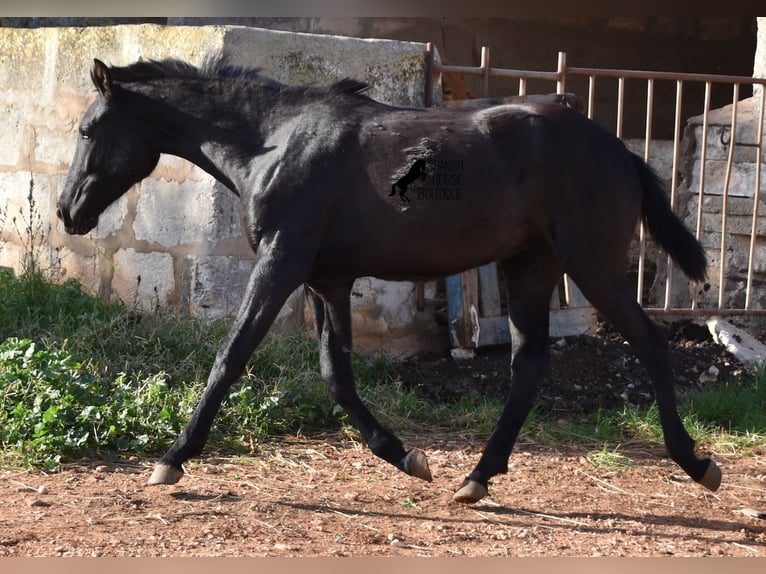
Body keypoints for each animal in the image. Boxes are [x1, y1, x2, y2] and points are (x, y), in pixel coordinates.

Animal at [58, 57, 720, 504]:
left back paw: (696, 464)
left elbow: (231, 356)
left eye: (88, 131)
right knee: (529, 363)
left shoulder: (281, 262)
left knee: (649, 344)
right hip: (528, 267)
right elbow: (337, 375)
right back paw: (475, 478)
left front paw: (172, 459)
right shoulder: (326, 280)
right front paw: (408, 458)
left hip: (591, 265)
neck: (274, 142)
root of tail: (620, 151)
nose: (68, 212)